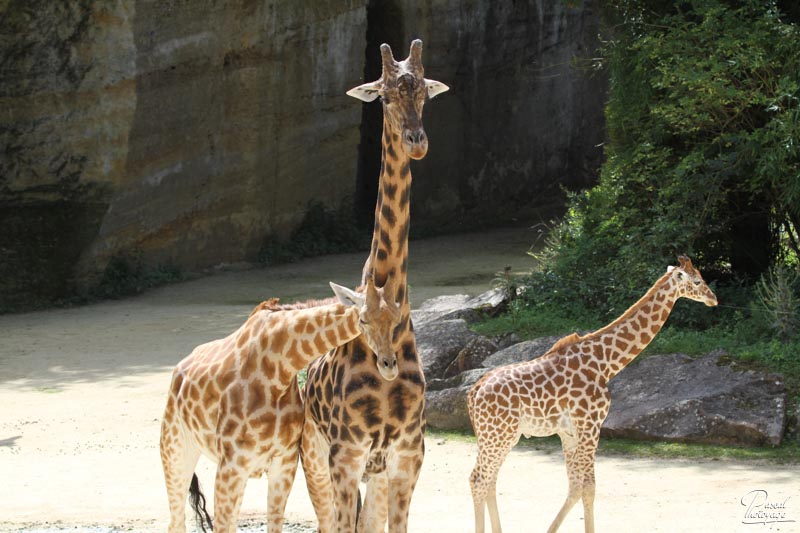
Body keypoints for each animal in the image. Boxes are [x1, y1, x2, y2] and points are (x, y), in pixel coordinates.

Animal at [158, 278, 400, 532]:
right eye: (363, 319)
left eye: (396, 318)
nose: (389, 365)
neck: (279, 367)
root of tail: (179, 368)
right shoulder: (232, 465)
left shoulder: (283, 463)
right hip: (175, 451)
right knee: (176, 521)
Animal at [300, 38, 450, 532]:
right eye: (383, 97)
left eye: (424, 91)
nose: (416, 142)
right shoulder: (345, 457)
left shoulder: (406, 457)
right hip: (313, 461)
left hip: (376, 476)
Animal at [466, 256, 716, 528]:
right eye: (697, 281)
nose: (713, 298)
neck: (605, 363)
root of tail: (473, 393)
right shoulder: (591, 424)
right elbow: (589, 486)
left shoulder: (569, 432)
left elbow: (575, 485)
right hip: (498, 435)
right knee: (478, 479)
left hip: (499, 436)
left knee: (489, 479)